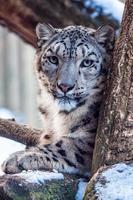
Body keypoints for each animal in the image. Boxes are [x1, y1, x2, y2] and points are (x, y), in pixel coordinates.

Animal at [1, 23, 114, 177]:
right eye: (53, 59)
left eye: (87, 62)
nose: (65, 86)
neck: (58, 117)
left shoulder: (89, 139)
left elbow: (64, 146)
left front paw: (19, 157)